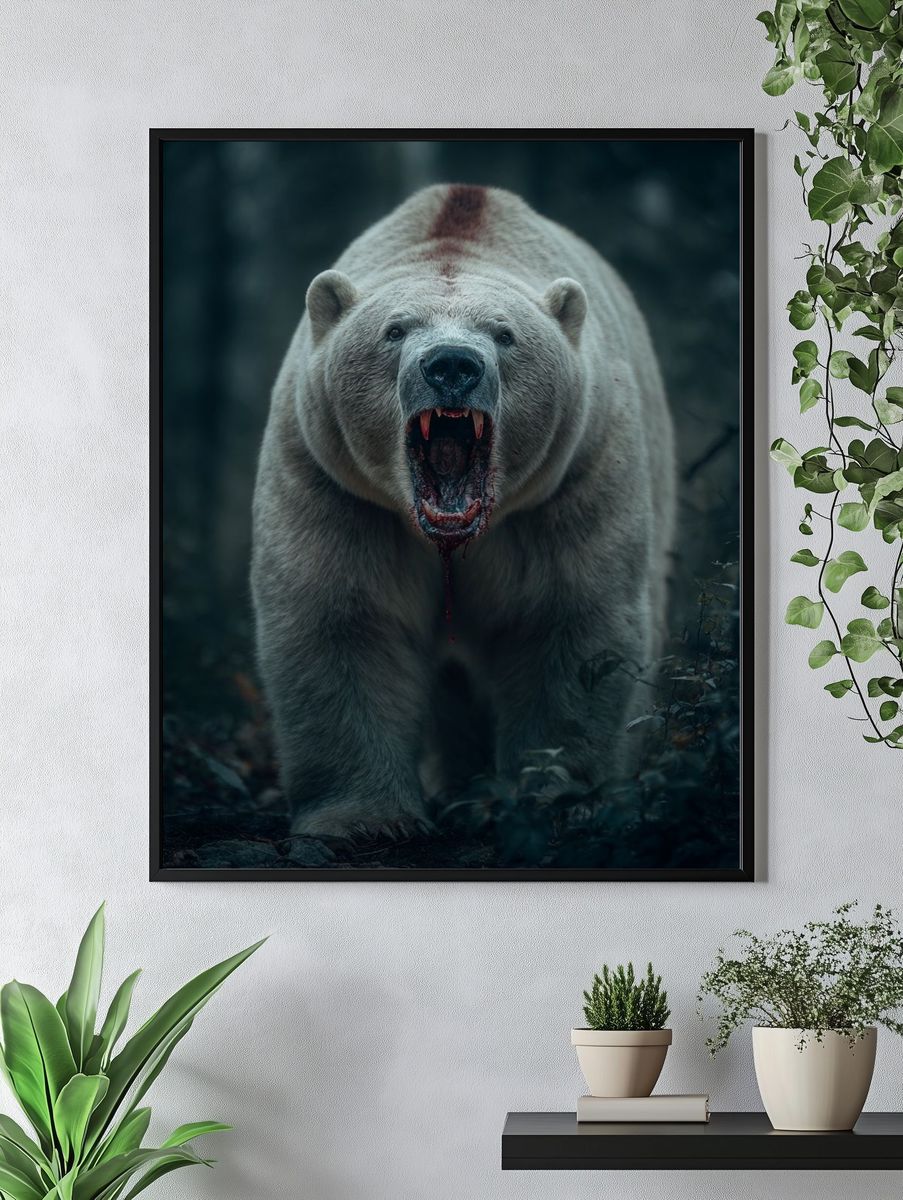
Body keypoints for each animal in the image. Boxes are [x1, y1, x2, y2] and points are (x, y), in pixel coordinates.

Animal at [251, 183, 675, 840]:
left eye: (504, 334)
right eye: (395, 330)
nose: (451, 364)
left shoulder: (573, 478)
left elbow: (569, 619)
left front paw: (555, 798)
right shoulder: (335, 483)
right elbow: (344, 618)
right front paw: (365, 819)